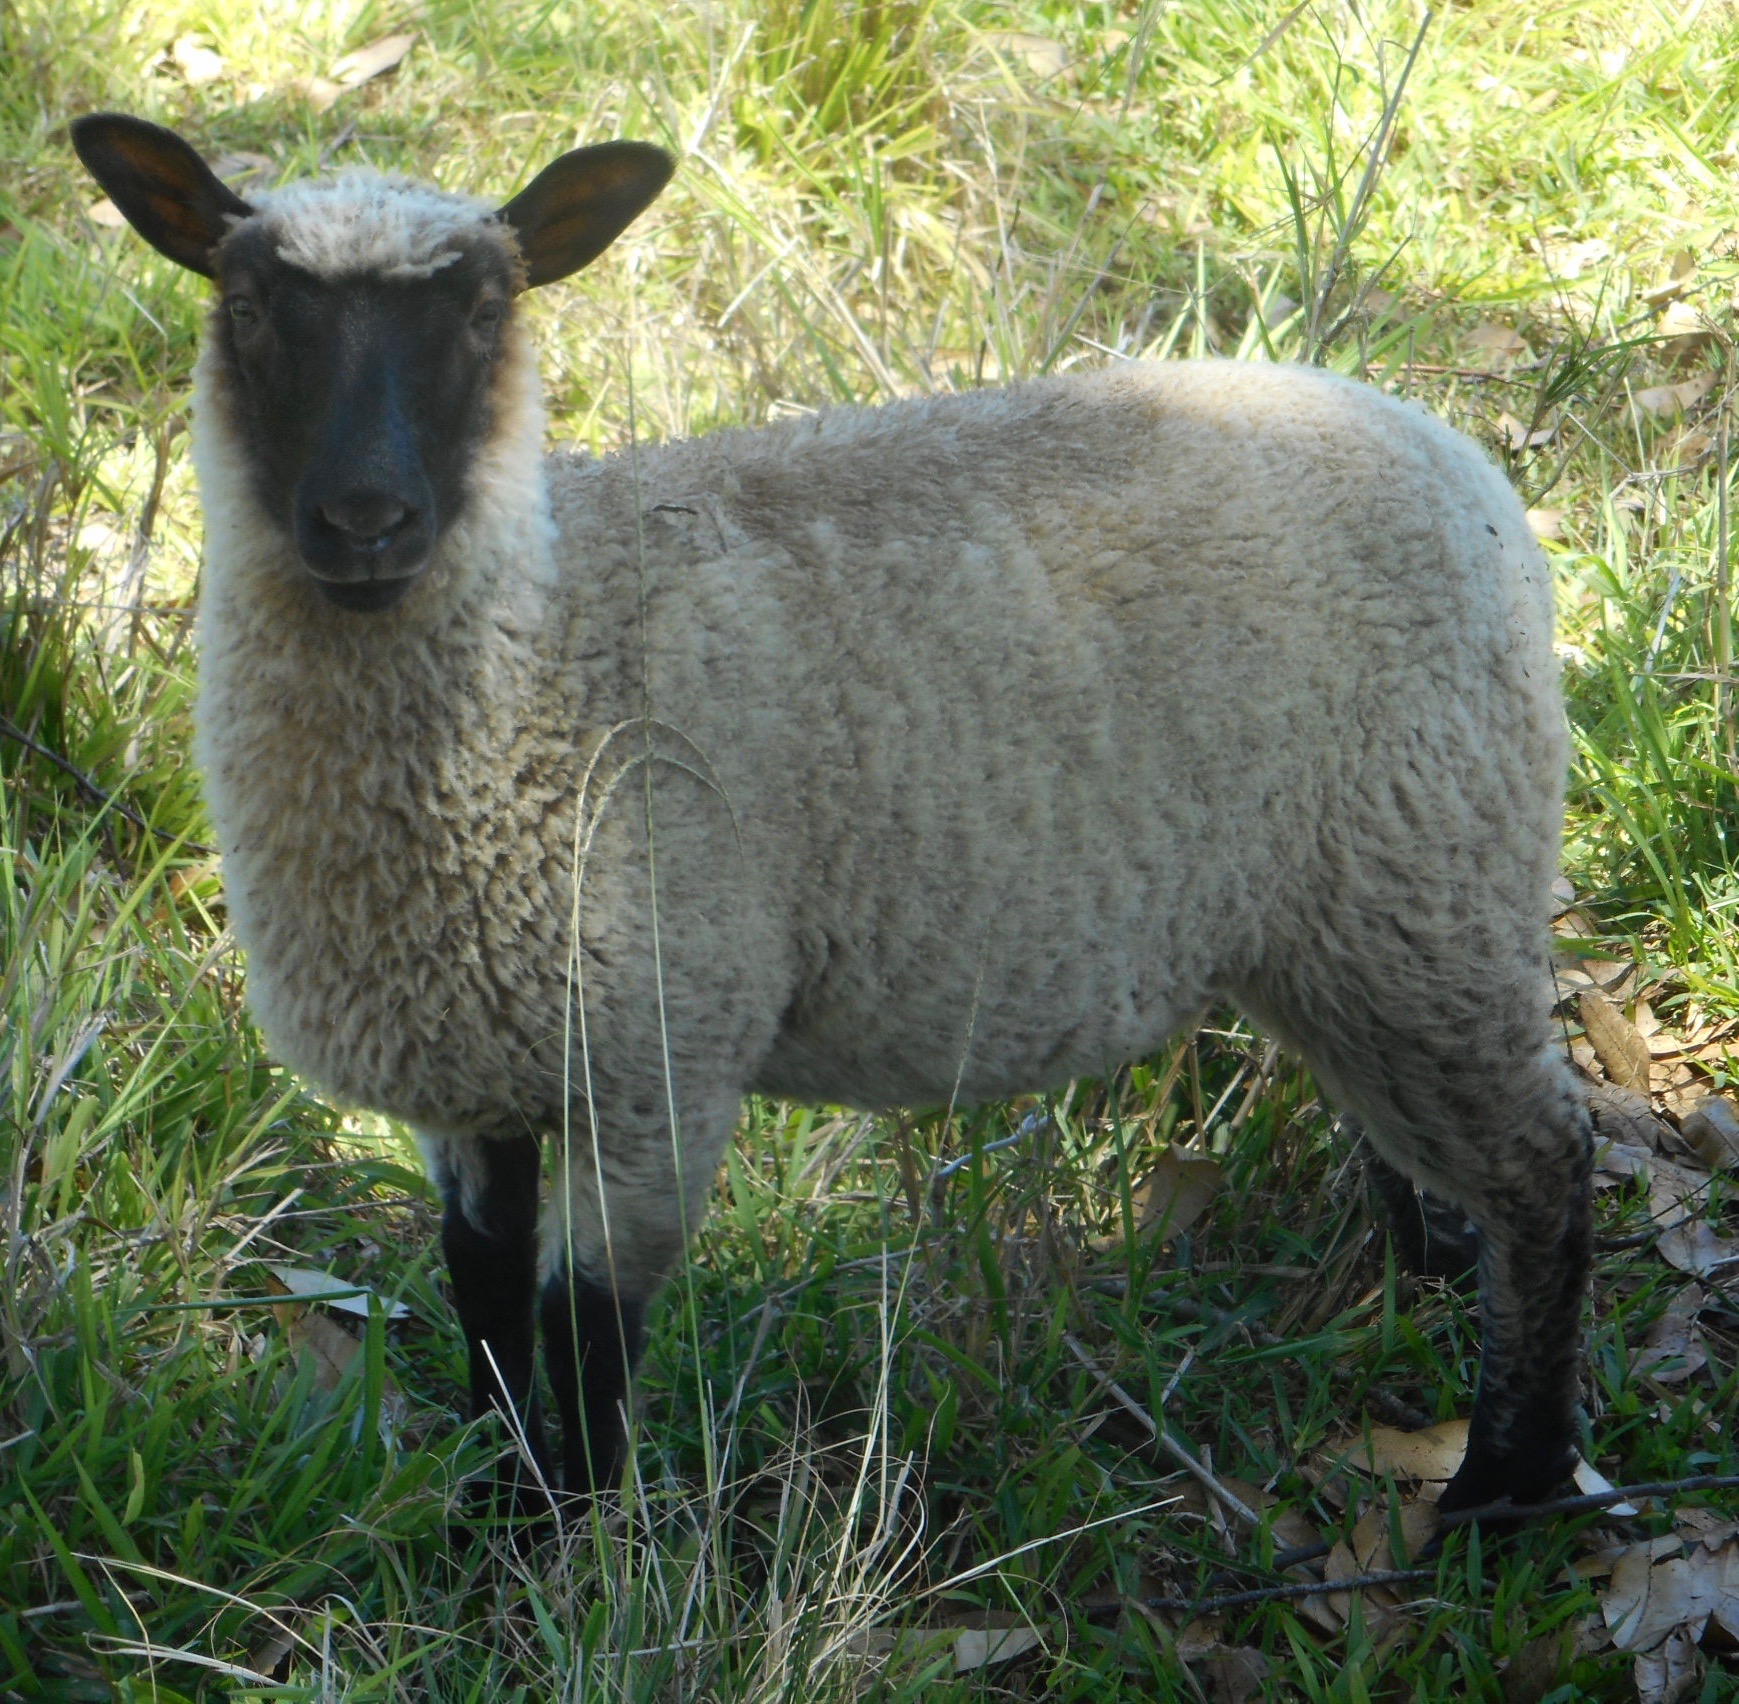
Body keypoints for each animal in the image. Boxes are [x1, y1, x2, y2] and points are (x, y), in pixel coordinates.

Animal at [74, 113, 1592, 1523]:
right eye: (248, 303)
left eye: (485, 310)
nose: (366, 521)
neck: (551, 654)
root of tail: (1453, 458)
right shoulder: (475, 1060)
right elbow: (486, 1294)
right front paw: (501, 1506)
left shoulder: (661, 1051)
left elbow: (584, 1331)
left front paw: (575, 1539)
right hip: (1347, 924)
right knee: (1424, 1139)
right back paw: (1423, 1274)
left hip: (1426, 875)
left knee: (1545, 1164)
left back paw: (1499, 1486)